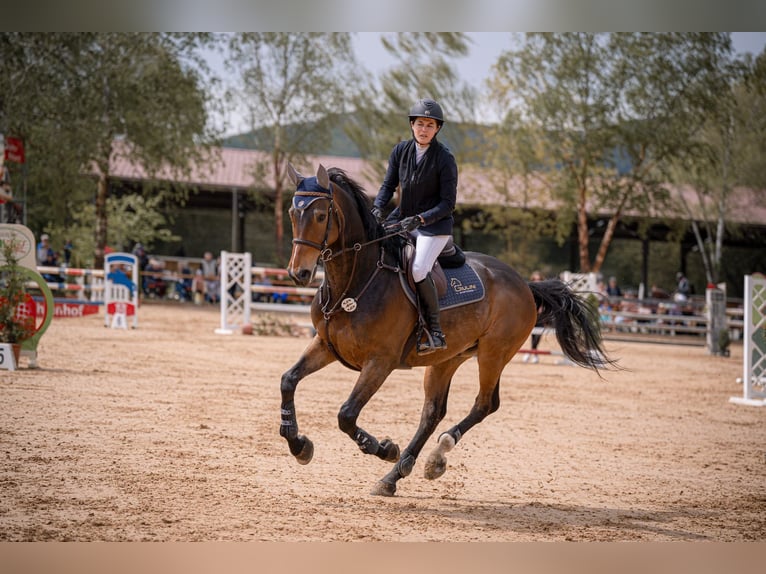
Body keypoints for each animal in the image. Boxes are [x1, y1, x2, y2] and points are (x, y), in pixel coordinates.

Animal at [280, 163, 616, 500]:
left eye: (320, 216)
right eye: (292, 213)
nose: (299, 273)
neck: (354, 279)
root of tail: (524, 284)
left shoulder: (380, 362)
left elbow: (346, 414)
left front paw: (384, 448)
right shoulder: (325, 345)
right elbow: (288, 380)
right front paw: (298, 444)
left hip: (493, 354)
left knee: (484, 404)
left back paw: (437, 454)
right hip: (447, 359)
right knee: (432, 413)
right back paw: (395, 475)